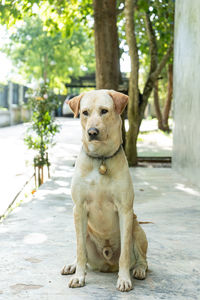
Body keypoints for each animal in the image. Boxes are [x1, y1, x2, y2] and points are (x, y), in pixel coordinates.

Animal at [61, 89, 148, 290]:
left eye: (104, 111)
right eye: (85, 112)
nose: (92, 132)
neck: (100, 159)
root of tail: (107, 264)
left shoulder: (125, 210)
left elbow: (125, 254)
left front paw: (124, 279)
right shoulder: (79, 208)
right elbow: (80, 251)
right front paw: (79, 276)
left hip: (138, 230)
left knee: (143, 259)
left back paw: (139, 270)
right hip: (85, 231)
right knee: (82, 254)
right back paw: (72, 265)